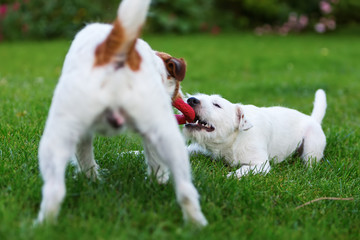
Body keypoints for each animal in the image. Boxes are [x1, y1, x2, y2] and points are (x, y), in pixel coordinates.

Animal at [35, 0, 208, 226]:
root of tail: (114, 50)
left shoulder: (83, 134)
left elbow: (85, 159)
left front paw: (93, 180)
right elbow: (154, 161)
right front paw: (158, 180)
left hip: (56, 138)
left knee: (54, 190)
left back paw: (44, 225)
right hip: (169, 137)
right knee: (186, 190)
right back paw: (196, 224)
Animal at [183, 89, 326, 178]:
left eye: (217, 105)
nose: (191, 100)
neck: (233, 140)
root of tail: (313, 119)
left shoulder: (261, 164)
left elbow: (244, 169)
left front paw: (231, 176)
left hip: (311, 147)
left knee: (310, 162)